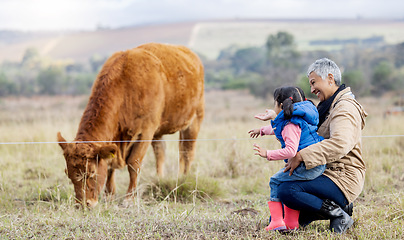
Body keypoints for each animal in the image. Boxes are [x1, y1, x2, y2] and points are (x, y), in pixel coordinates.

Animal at [56, 43, 205, 208]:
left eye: (92, 172)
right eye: (68, 174)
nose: (83, 204)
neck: (125, 86)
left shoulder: (145, 132)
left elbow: (134, 164)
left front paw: (129, 199)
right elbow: (110, 167)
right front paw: (109, 195)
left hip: (194, 120)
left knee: (187, 152)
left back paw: (184, 178)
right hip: (158, 131)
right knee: (161, 152)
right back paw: (160, 179)